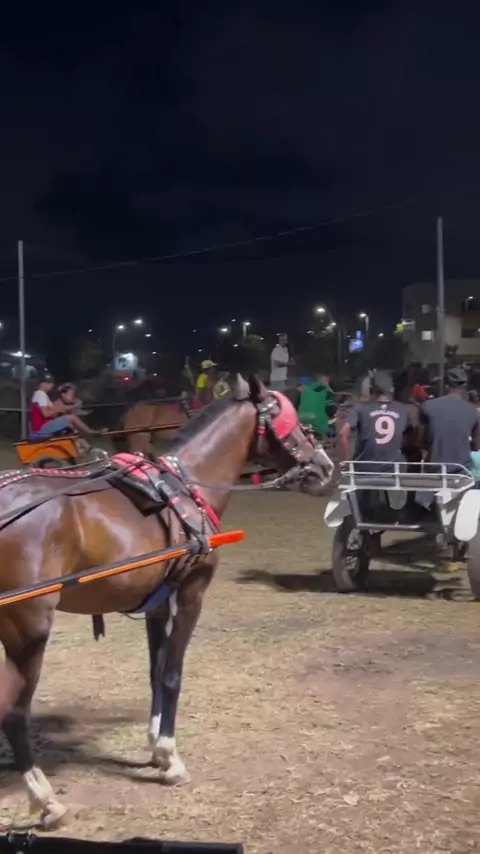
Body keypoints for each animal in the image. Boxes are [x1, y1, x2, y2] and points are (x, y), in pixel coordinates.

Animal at [0, 375, 333, 827]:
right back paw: (45, 798)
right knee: (14, 712)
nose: (325, 468)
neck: (186, 485)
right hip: (28, 629)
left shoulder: (157, 602)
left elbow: (156, 673)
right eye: (291, 420)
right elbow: (173, 674)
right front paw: (170, 758)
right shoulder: (192, 591)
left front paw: (156, 745)